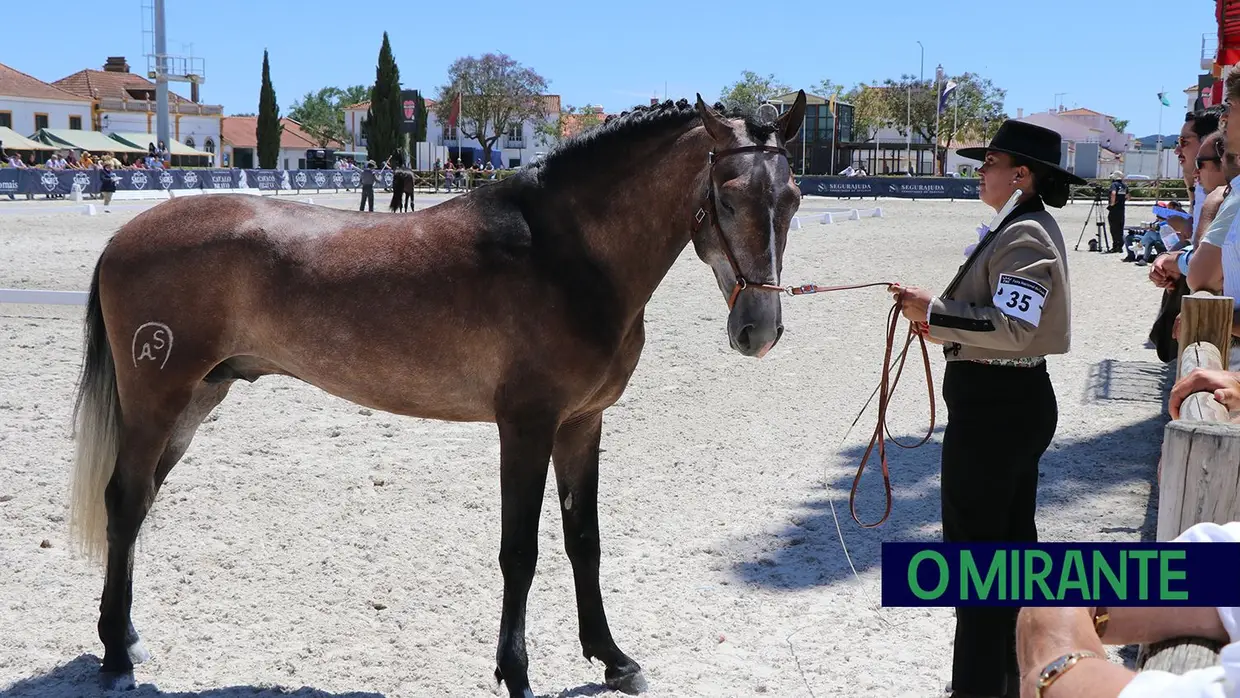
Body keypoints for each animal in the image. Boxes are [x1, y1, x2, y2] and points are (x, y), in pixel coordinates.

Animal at [67, 89, 808, 694]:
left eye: (794, 199)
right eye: (727, 196)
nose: (759, 329)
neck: (562, 254)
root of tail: (124, 235)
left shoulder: (582, 424)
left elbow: (584, 540)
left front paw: (613, 659)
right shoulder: (527, 426)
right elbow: (521, 551)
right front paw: (516, 673)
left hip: (195, 401)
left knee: (137, 505)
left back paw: (123, 638)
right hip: (157, 402)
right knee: (124, 504)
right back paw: (117, 656)